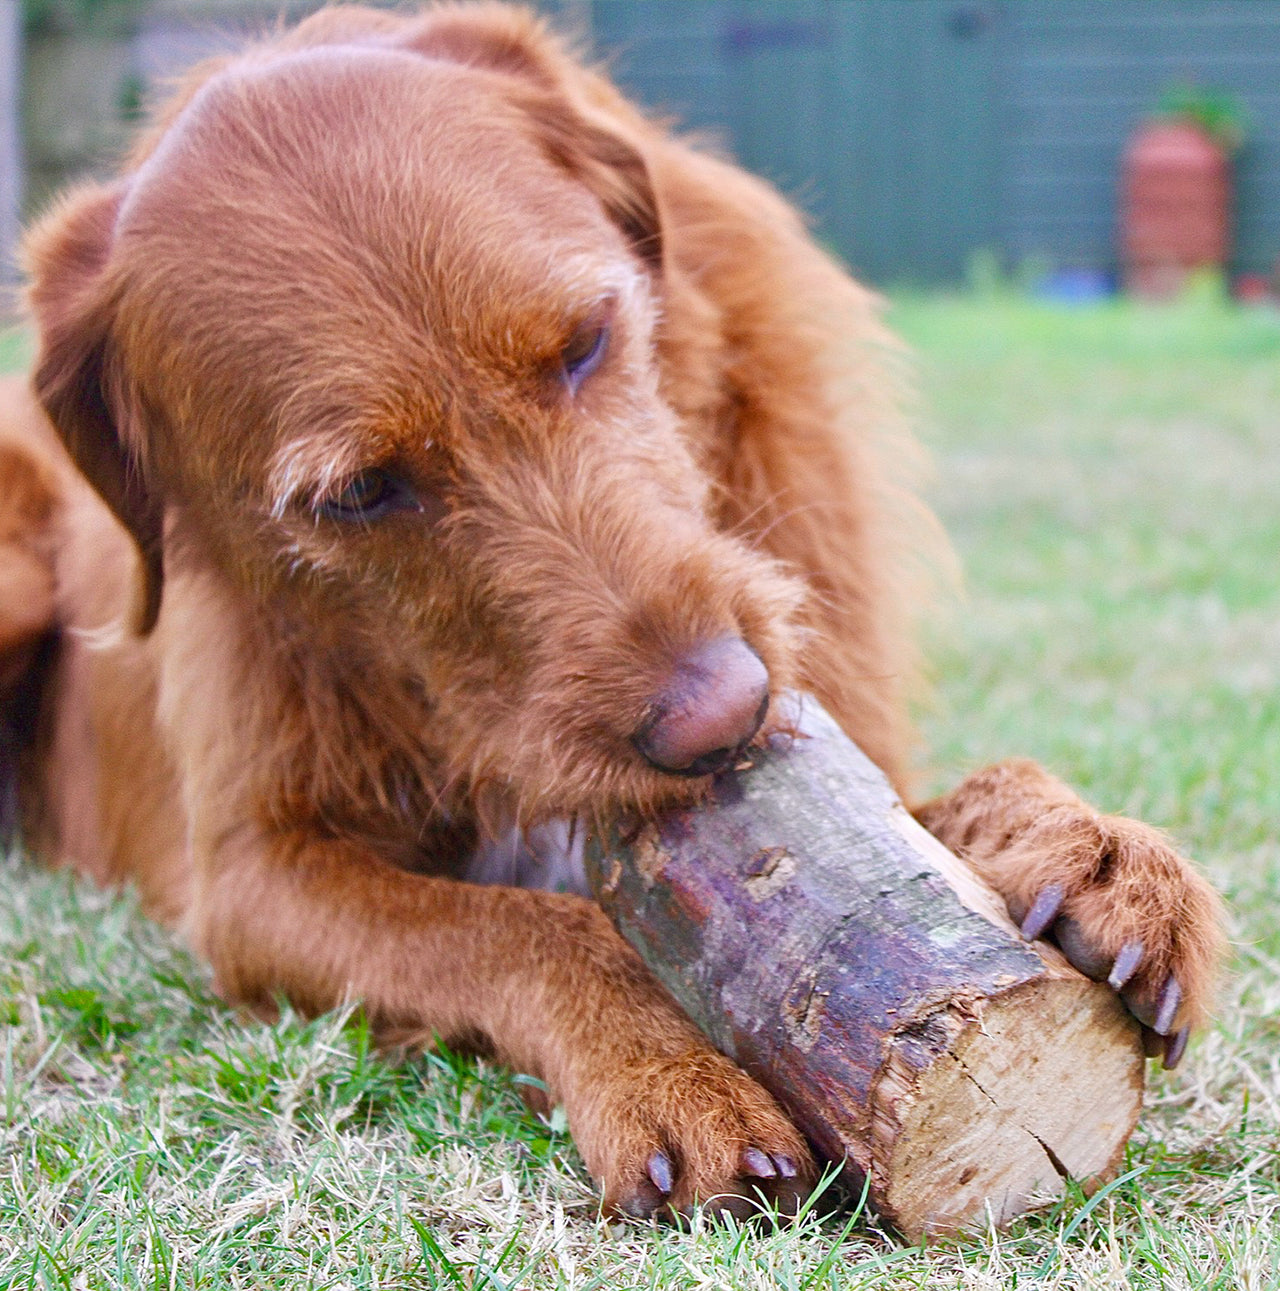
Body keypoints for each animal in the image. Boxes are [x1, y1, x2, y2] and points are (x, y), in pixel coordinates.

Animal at [0, 2, 1219, 1218]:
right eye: (358, 492)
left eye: (585, 340)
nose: (721, 714)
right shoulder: (252, 879)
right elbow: (519, 927)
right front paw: (658, 1066)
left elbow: (919, 814)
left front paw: (1074, 843)